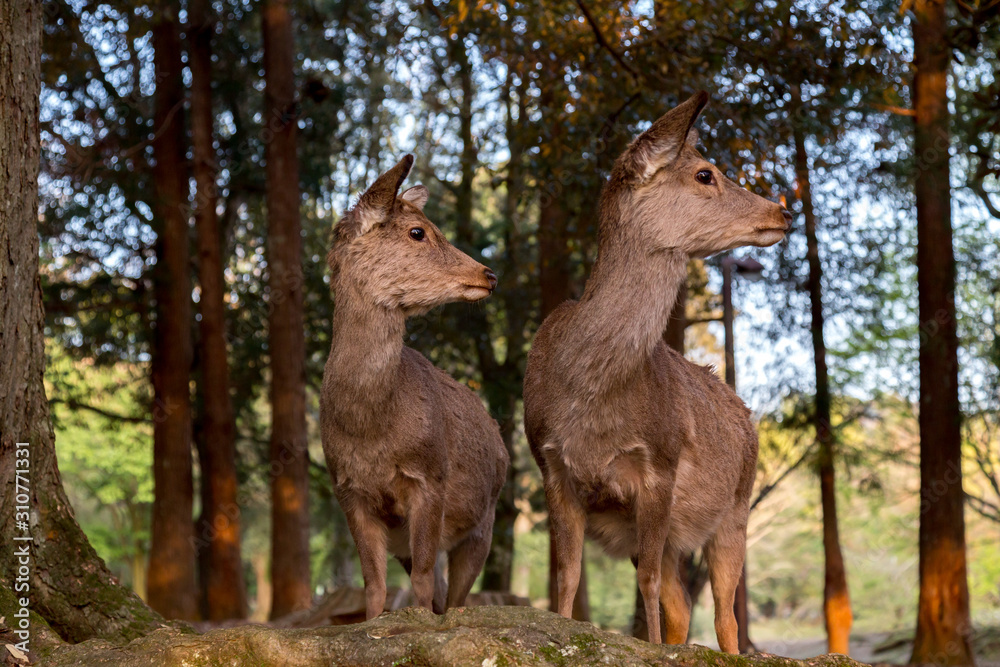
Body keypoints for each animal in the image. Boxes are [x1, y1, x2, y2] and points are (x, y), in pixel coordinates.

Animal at [320, 154, 509, 620]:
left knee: (456, 598)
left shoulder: (431, 477)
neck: (370, 429)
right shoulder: (348, 491)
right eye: (417, 231)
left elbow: (422, 582)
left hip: (485, 521)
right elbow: (374, 585)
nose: (489, 274)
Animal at [522, 92, 791, 652]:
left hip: (737, 506)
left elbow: (644, 581)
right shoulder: (550, 463)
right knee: (684, 605)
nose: (782, 210)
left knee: (725, 614)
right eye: (706, 173)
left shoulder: (660, 464)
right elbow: (567, 578)